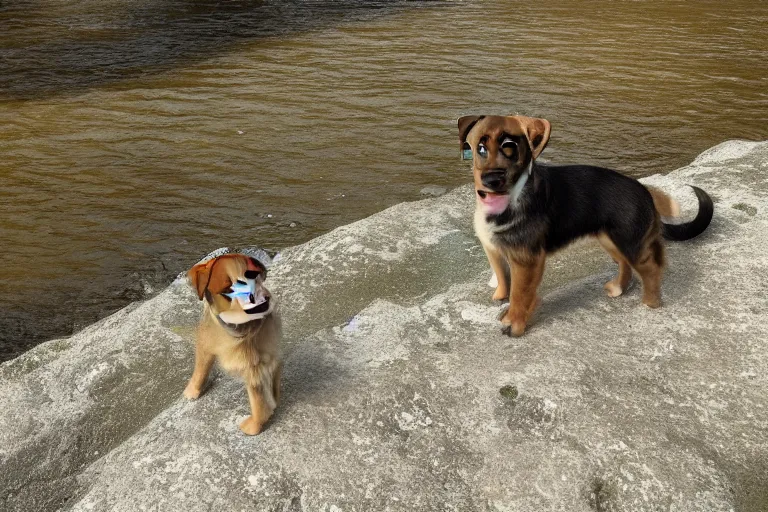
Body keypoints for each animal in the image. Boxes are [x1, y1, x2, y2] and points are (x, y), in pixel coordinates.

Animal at [456, 116, 712, 338]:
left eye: (510, 149)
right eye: (480, 149)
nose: (491, 180)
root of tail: (645, 191)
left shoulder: (526, 260)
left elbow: (520, 295)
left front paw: (515, 325)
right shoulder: (496, 251)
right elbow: (506, 284)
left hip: (631, 243)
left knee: (650, 270)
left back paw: (651, 303)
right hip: (610, 239)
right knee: (625, 265)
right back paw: (618, 288)